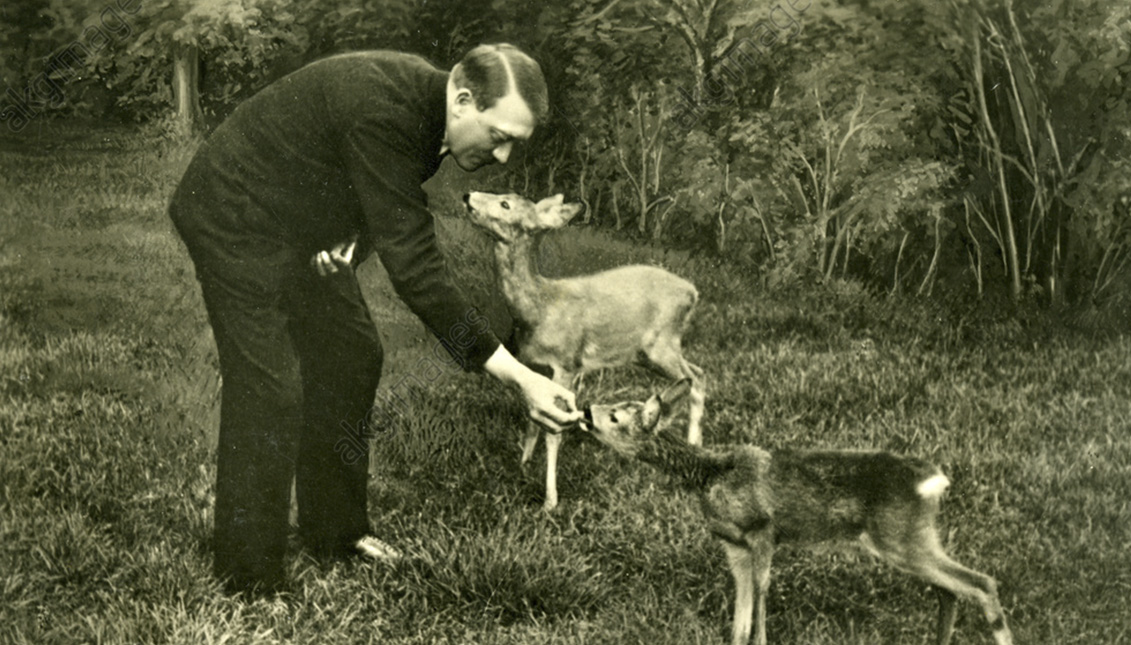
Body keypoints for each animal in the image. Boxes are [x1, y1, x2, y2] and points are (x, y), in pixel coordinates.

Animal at [461, 187, 705, 509]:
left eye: (505, 204)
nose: (467, 195)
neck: (539, 308)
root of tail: (694, 292)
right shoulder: (535, 366)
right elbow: (533, 419)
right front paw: (523, 463)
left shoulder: (567, 364)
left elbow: (553, 432)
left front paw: (550, 500)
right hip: (645, 352)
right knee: (697, 372)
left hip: (661, 343)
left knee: (697, 379)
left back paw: (691, 445)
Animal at [583, 375, 1017, 642]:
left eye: (615, 415)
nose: (586, 410)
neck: (711, 473)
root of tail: (932, 481)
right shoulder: (733, 545)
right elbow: (740, 615)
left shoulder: (763, 530)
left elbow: (761, 594)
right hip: (910, 539)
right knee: (951, 591)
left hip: (901, 537)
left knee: (981, 583)